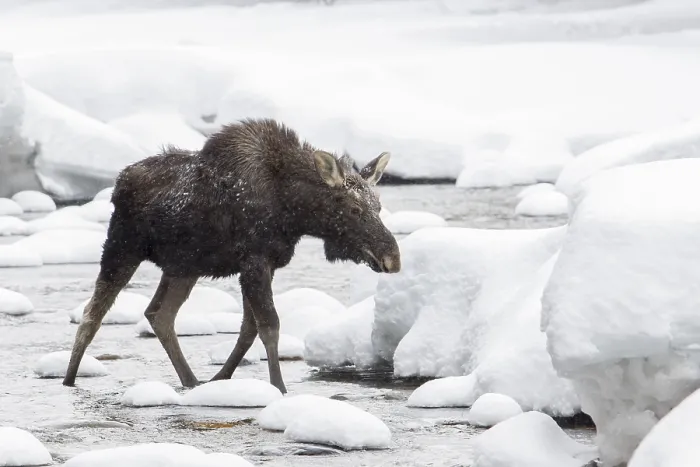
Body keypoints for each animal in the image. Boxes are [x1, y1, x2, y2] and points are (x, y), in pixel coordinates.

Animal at [62, 118, 401, 394]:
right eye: (354, 209)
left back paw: (190, 380)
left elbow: (249, 329)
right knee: (92, 315)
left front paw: (221, 379)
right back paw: (69, 380)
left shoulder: (264, 265)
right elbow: (269, 326)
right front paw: (279, 388)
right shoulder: (254, 262)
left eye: (378, 206)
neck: (293, 212)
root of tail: (119, 182)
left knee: (159, 314)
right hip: (122, 248)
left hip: (182, 267)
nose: (392, 258)